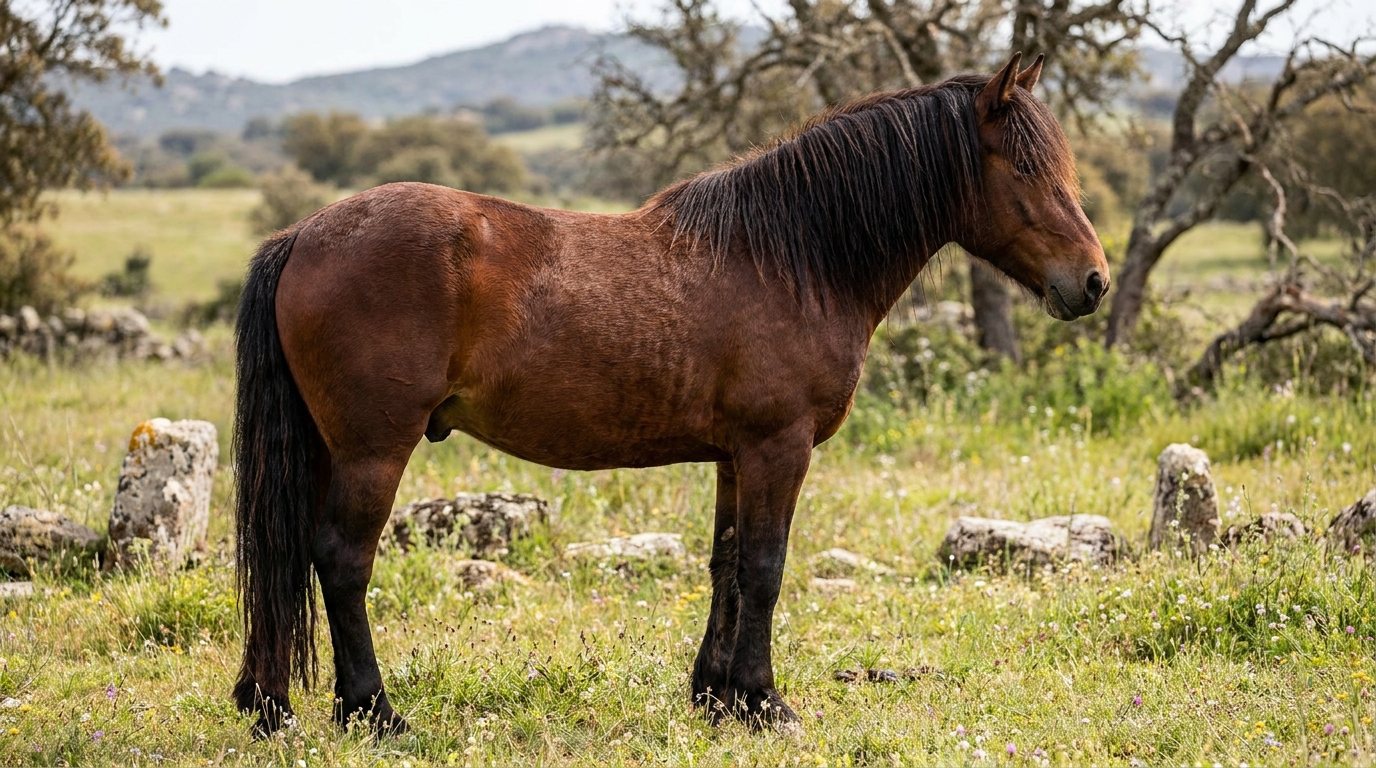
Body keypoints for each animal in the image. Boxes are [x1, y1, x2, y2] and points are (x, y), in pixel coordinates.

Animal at [231, 53, 1108, 736]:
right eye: (1026, 168)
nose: (1093, 281)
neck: (793, 258)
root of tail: (302, 234)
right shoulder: (778, 447)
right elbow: (765, 567)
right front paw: (765, 702)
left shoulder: (735, 455)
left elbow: (726, 564)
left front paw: (717, 699)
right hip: (374, 448)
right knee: (342, 560)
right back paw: (373, 711)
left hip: (326, 447)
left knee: (290, 555)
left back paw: (272, 705)